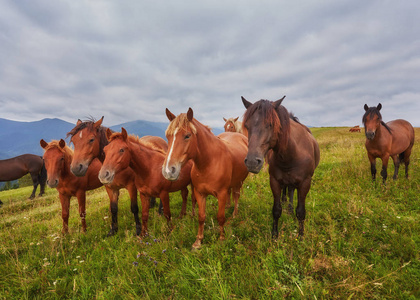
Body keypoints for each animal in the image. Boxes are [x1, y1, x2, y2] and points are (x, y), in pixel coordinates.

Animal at [162, 107, 249, 248]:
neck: (209, 163)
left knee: (236, 195)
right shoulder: (199, 193)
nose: (168, 171)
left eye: (187, 135)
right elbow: (201, 216)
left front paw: (221, 239)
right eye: (168, 136)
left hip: (239, 181)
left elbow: (220, 217)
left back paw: (235, 214)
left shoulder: (221, 193)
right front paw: (198, 241)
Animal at [241, 96, 320, 239]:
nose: (252, 162)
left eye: (271, 124)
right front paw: (274, 236)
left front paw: (301, 236)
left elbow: (301, 211)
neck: (292, 153)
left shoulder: (305, 182)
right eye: (247, 126)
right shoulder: (275, 181)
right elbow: (276, 210)